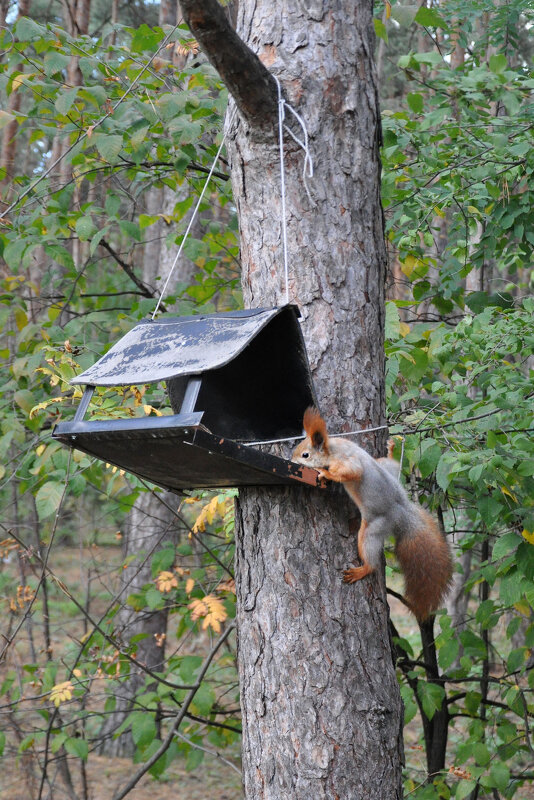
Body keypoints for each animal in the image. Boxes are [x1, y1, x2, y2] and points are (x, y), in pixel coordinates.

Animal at [292, 410, 454, 620]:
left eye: (305, 455)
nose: (291, 461)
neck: (333, 448)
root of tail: (401, 511)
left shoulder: (346, 461)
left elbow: (353, 472)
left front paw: (325, 473)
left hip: (374, 527)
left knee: (371, 556)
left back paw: (363, 570)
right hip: (386, 468)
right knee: (392, 465)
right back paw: (391, 450)